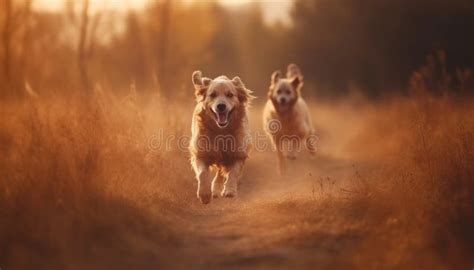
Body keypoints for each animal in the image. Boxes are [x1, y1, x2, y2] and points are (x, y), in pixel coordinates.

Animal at [190, 70, 256, 204]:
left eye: (230, 94)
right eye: (213, 95)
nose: (221, 106)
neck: (221, 132)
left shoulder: (239, 153)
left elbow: (233, 172)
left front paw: (229, 190)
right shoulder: (200, 153)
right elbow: (202, 173)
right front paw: (204, 194)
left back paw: (216, 189)